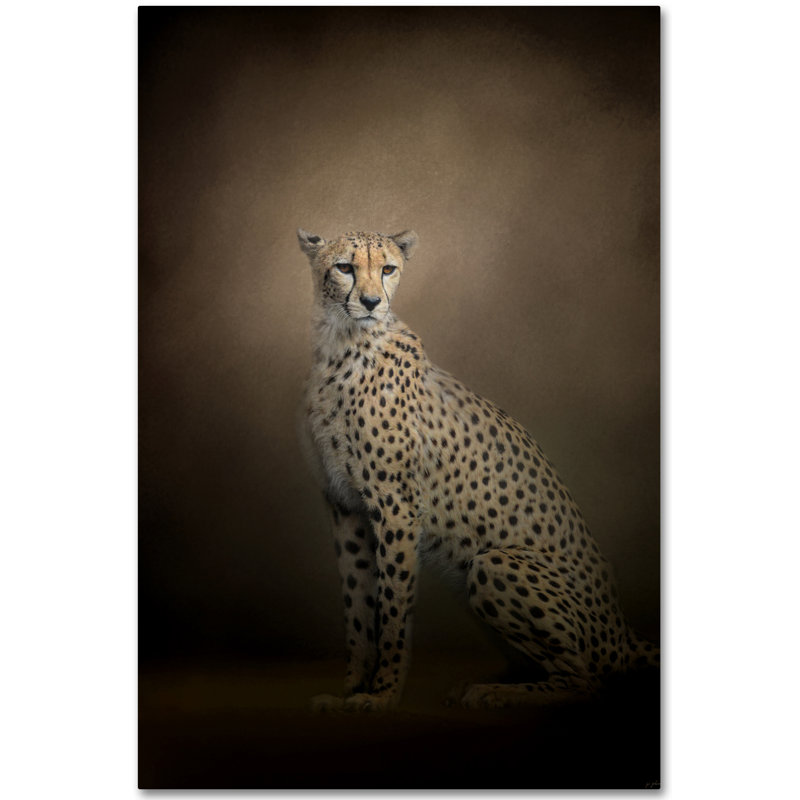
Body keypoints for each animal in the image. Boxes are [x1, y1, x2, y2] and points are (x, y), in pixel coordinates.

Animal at [297, 227, 658, 711]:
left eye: (388, 268)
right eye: (344, 267)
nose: (372, 302)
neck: (340, 341)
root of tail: (620, 632)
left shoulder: (396, 508)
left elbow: (392, 608)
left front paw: (382, 696)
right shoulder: (346, 507)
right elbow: (356, 606)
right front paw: (350, 690)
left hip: (493, 564)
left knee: (587, 680)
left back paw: (494, 693)